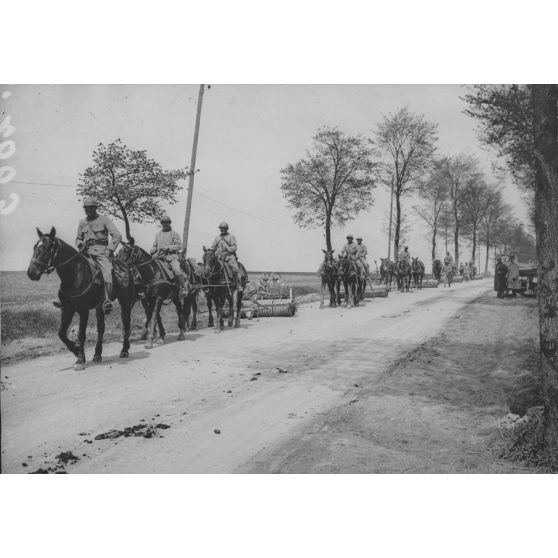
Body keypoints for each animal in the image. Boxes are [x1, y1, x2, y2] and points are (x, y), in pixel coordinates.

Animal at [27, 225, 136, 370]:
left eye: (47, 247)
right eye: (34, 247)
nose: (31, 273)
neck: (74, 275)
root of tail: (125, 265)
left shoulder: (83, 310)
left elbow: (81, 334)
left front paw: (79, 359)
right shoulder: (67, 309)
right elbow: (61, 333)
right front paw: (77, 350)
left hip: (125, 302)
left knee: (126, 323)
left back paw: (124, 350)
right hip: (100, 307)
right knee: (101, 328)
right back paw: (97, 354)